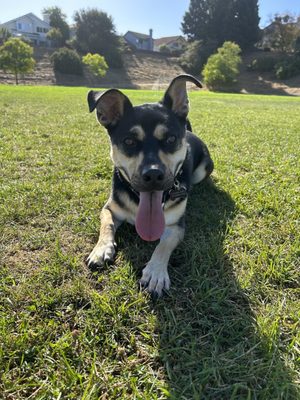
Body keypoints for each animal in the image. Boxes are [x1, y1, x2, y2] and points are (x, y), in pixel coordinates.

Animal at [86, 73, 213, 296]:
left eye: (171, 139)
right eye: (129, 141)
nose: (153, 175)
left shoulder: (176, 225)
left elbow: (164, 244)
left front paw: (155, 273)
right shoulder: (110, 207)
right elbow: (107, 223)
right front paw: (101, 249)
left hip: (203, 169)